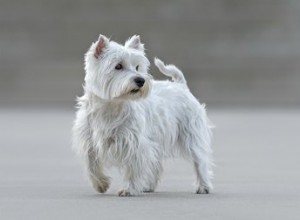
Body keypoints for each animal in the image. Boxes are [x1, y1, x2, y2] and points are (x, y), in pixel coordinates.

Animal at [72, 34, 213, 196]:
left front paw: (129, 189)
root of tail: (181, 86)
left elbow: (133, 167)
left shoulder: (135, 142)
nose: (140, 80)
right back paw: (148, 186)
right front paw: (101, 184)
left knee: (199, 160)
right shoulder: (89, 140)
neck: (112, 106)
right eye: (118, 66)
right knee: (156, 164)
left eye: (137, 67)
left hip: (191, 135)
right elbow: (91, 165)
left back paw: (203, 187)